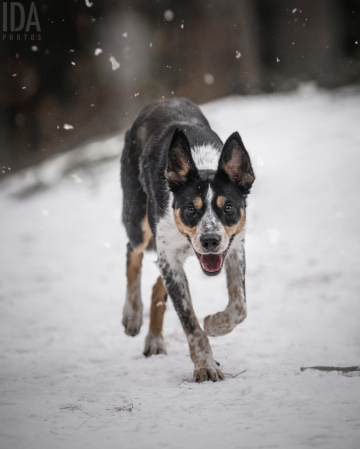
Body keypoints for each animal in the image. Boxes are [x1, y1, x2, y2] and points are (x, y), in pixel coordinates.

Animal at [119, 98, 255, 382]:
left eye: (228, 208)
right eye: (191, 209)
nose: (210, 240)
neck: (202, 164)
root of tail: (158, 102)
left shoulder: (235, 248)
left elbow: (240, 307)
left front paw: (213, 324)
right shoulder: (169, 257)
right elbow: (190, 322)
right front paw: (205, 366)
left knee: (156, 285)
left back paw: (154, 340)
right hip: (138, 220)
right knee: (132, 250)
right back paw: (133, 314)